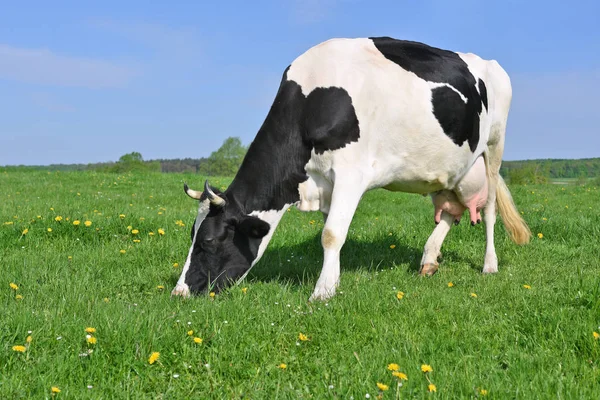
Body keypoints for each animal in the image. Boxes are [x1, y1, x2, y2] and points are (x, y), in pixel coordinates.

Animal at [172, 36, 528, 300]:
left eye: (209, 241)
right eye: (192, 234)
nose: (179, 292)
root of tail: (489, 64)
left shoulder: (350, 173)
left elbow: (331, 234)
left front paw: (322, 292)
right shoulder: (324, 183)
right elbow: (332, 231)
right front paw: (332, 280)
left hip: (494, 147)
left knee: (490, 209)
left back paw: (489, 265)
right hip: (450, 168)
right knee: (451, 211)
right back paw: (428, 260)